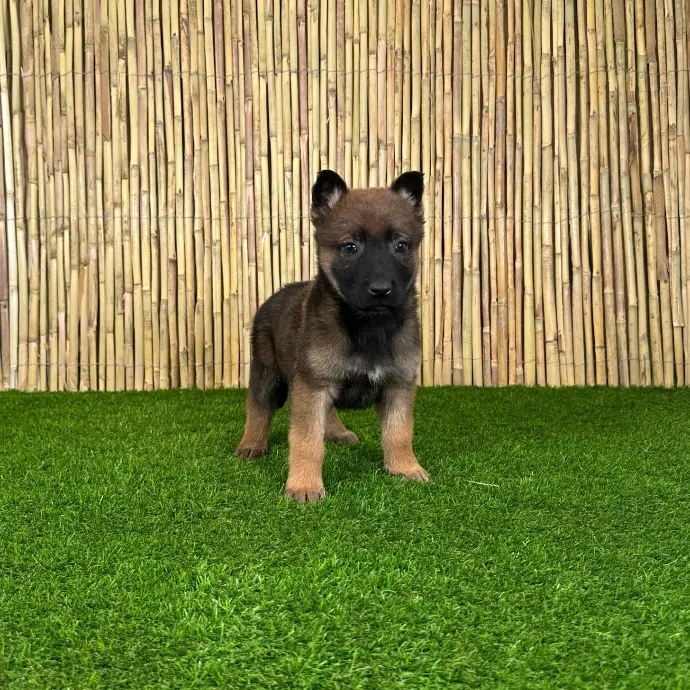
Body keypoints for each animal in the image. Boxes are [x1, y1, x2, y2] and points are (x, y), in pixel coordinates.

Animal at [235, 169, 429, 503]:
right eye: (350, 247)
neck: (368, 328)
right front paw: (304, 485)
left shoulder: (398, 384)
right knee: (258, 408)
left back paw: (337, 432)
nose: (380, 290)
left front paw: (405, 467)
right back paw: (252, 444)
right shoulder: (313, 384)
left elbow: (400, 432)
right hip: (267, 372)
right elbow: (307, 440)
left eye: (401, 246)